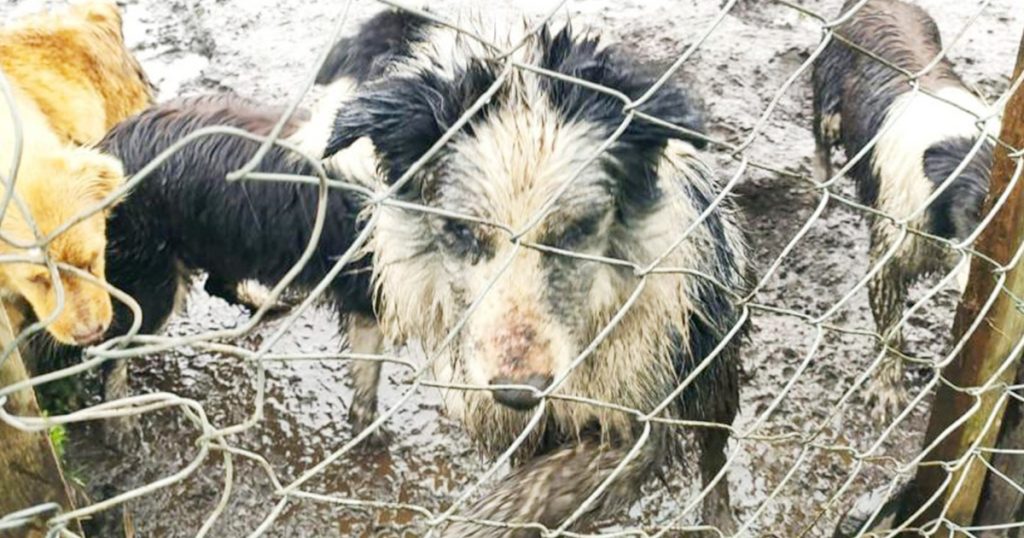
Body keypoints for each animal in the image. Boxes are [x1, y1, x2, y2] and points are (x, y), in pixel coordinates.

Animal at [319, 8, 753, 532]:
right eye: (462, 232)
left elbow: (539, 489)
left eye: (577, 231)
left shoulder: (640, 406)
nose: (519, 393)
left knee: (715, 448)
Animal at [811, 0, 995, 418]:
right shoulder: (888, 258)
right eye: (973, 213)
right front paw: (888, 388)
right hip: (829, 107)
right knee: (820, 138)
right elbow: (891, 332)